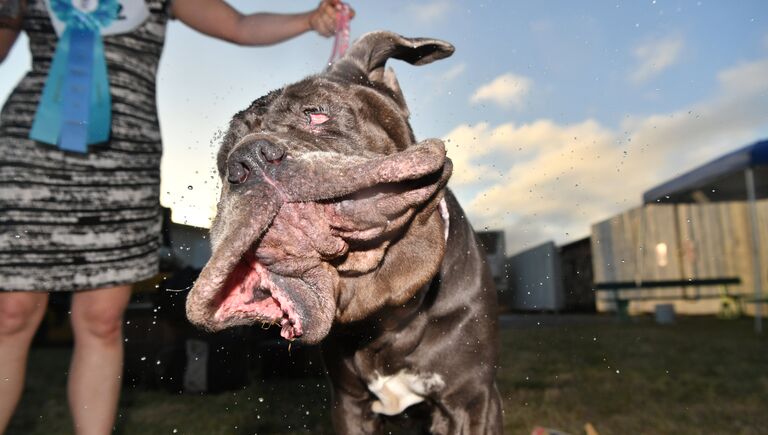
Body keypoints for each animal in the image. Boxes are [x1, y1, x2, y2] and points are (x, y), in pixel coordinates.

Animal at [186, 31, 504, 435]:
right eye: (222, 161)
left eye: (317, 114)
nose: (248, 159)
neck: (385, 312)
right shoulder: (350, 406)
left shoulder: (472, 401)